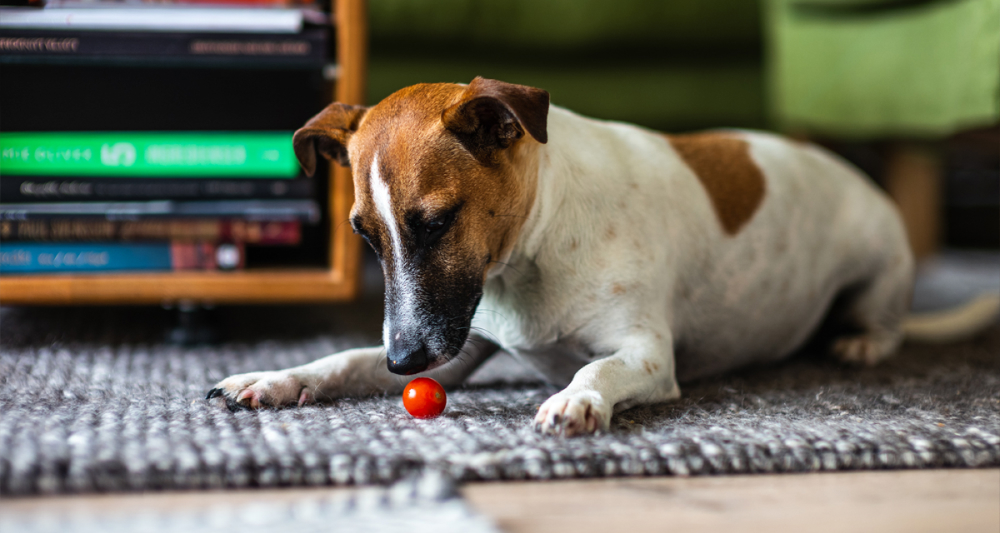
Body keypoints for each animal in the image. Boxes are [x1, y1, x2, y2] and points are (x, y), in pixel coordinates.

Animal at [207, 78, 996, 436]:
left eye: (435, 222)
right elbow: (339, 360)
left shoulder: (646, 355)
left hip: (880, 271)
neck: (531, 253)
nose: (404, 363)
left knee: (883, 322)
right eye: (366, 235)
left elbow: (598, 367)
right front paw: (273, 378)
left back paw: (861, 340)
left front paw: (576, 397)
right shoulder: (455, 346)